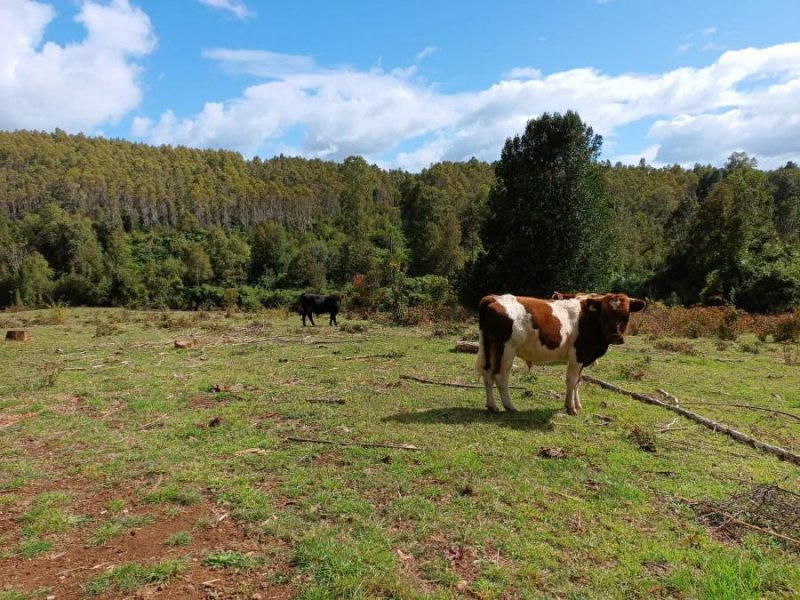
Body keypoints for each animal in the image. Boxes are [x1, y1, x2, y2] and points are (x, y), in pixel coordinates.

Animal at [478, 292, 648, 414]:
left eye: (626, 315)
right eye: (604, 314)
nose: (616, 337)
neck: (589, 319)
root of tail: (494, 298)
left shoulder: (583, 358)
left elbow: (578, 382)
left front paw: (577, 405)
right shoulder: (577, 356)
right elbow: (572, 381)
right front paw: (570, 408)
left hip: (489, 348)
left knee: (487, 374)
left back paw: (492, 405)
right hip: (506, 349)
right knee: (500, 376)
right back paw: (509, 406)